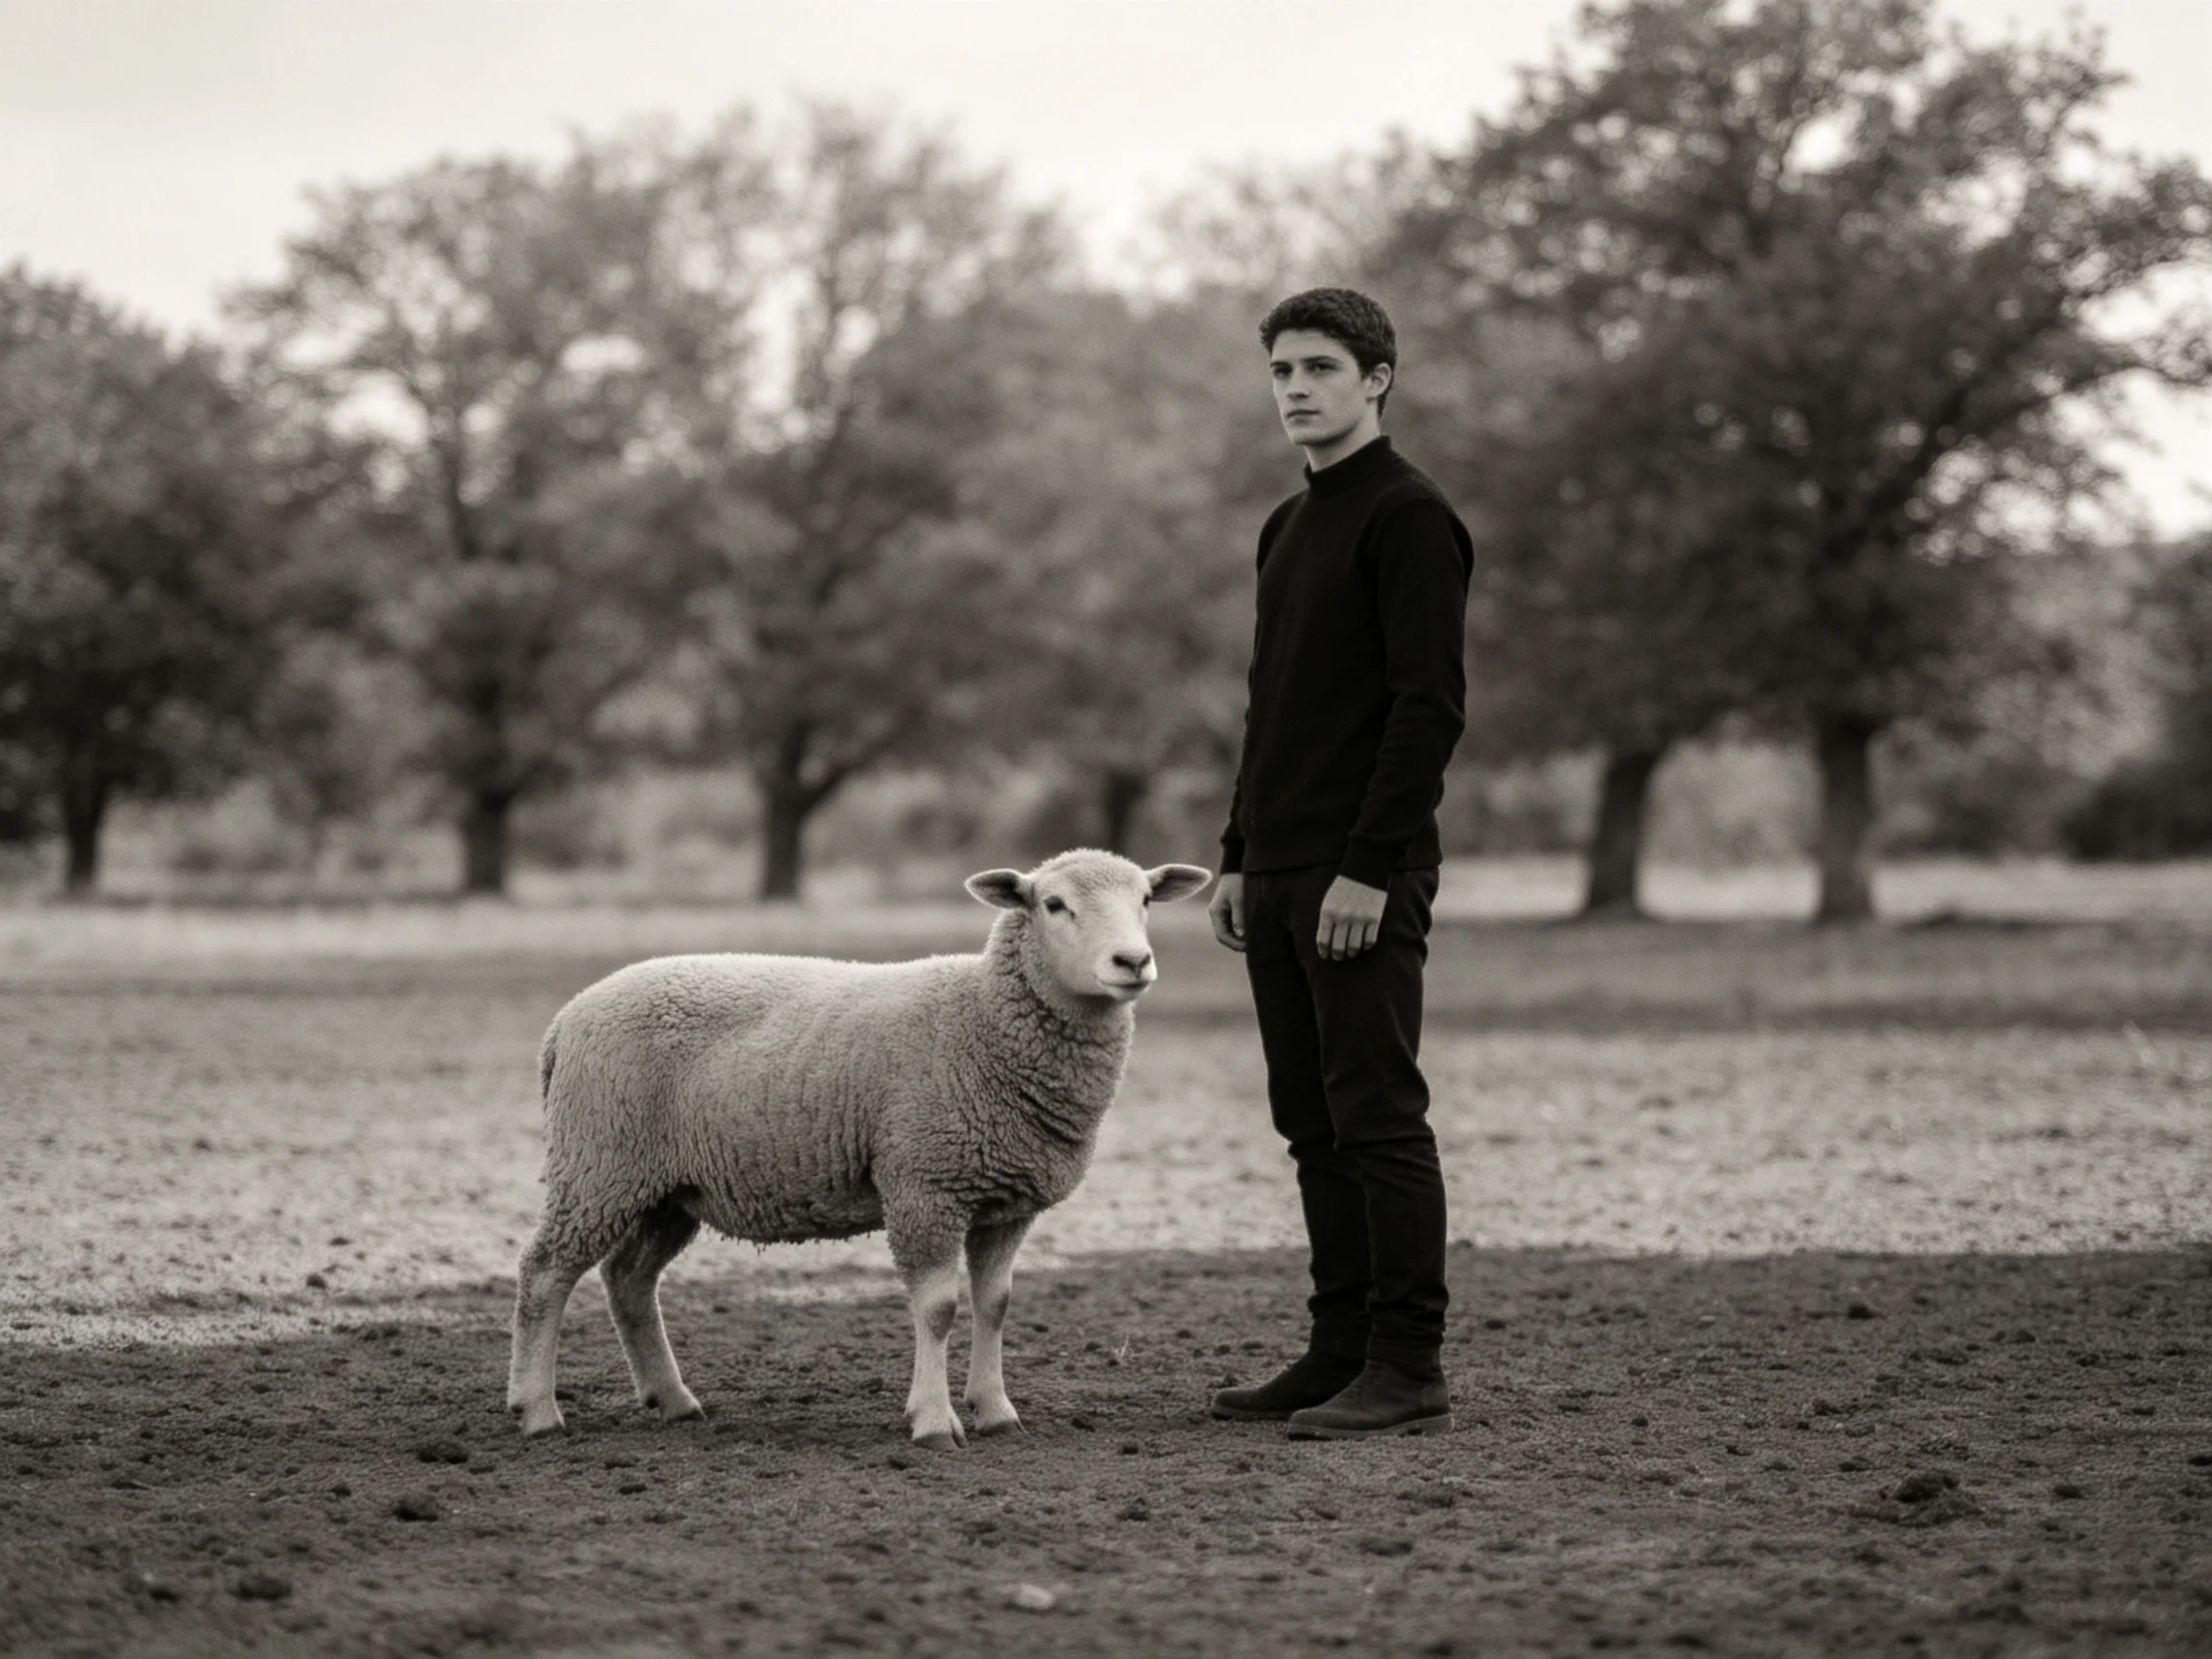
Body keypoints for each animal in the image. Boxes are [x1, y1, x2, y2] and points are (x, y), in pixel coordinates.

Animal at [506, 849, 1213, 1448]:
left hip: (664, 1188)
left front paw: (996, 1411)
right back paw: (537, 1410)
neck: (983, 1018)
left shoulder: (1007, 1201)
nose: (1132, 962)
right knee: (544, 1274)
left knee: (628, 1280)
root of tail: (564, 1022)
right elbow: (939, 1308)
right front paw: (934, 1422)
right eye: (1054, 904)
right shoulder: (925, 1185)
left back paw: (673, 1399)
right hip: (599, 1162)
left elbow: (995, 1305)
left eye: (1146, 899)